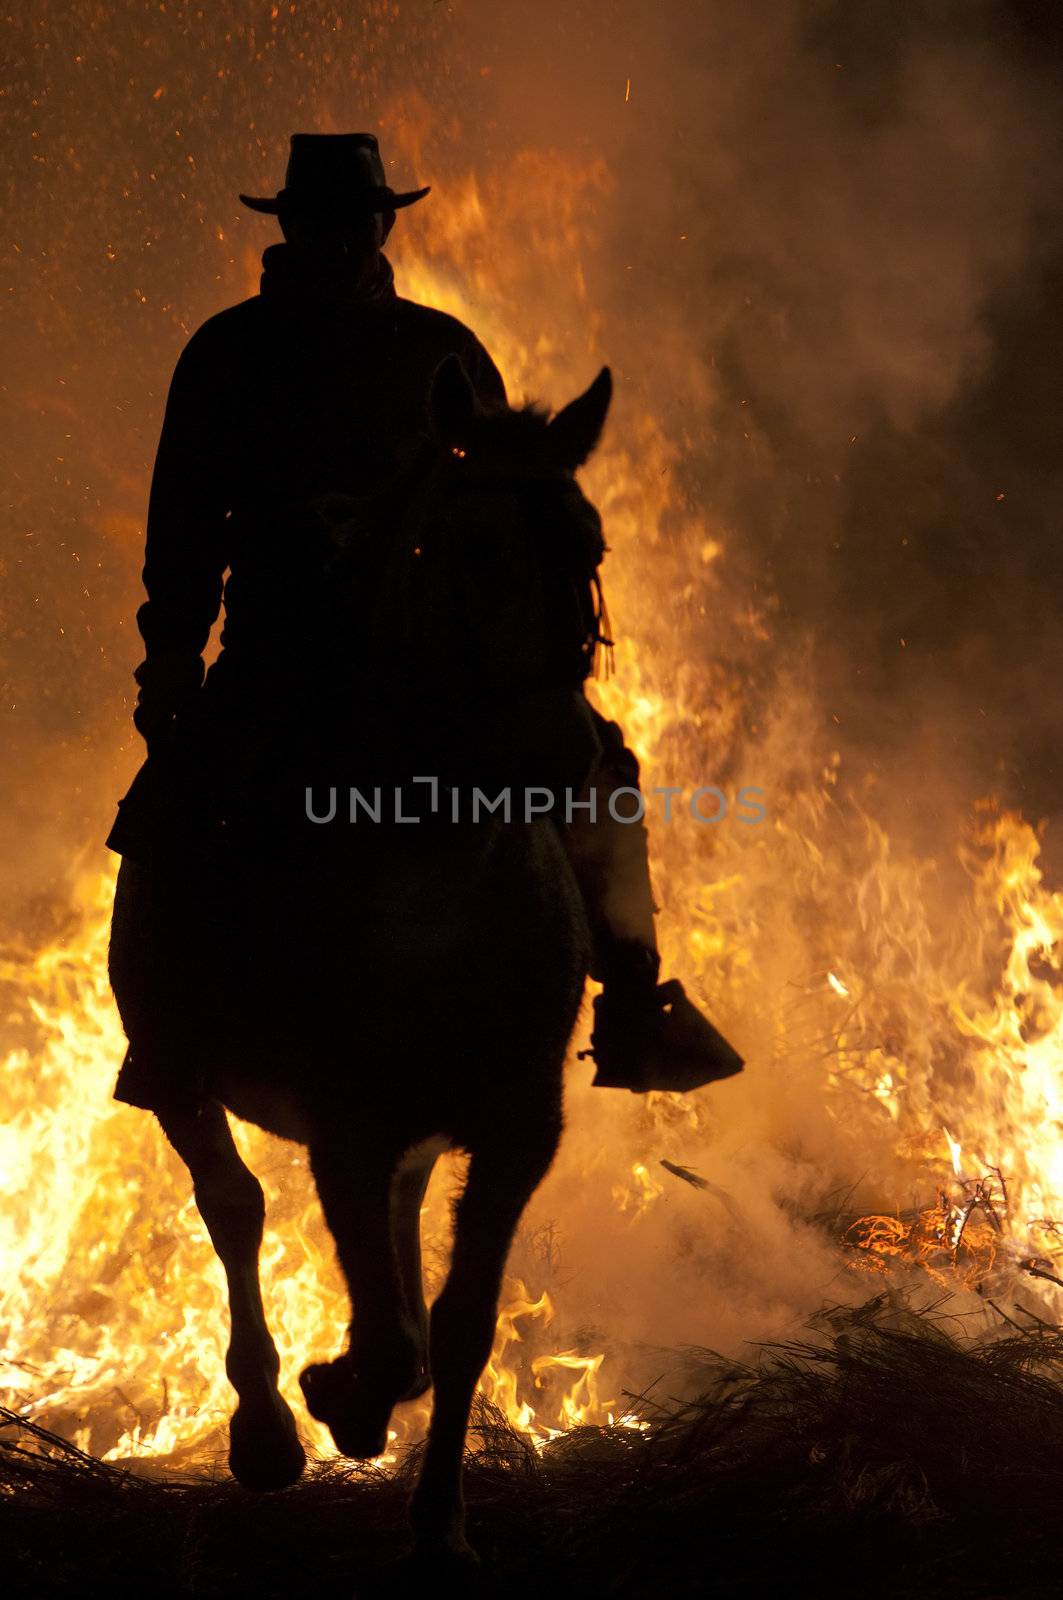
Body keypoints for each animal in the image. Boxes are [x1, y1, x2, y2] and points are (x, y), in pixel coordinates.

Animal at [108, 353, 614, 1561]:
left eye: (589, 545)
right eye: (454, 547)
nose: (560, 755)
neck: (430, 899)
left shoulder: (514, 1131)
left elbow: (457, 1326)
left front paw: (438, 1525)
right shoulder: (345, 1126)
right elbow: (387, 1335)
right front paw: (334, 1394)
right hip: (178, 1076)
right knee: (233, 1208)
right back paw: (265, 1434)